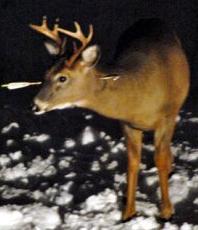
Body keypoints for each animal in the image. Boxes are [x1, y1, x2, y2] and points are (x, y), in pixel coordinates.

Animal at [30, 17, 189, 220]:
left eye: (63, 78)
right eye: (46, 74)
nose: (36, 105)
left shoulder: (166, 117)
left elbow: (159, 159)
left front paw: (167, 211)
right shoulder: (128, 125)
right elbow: (132, 162)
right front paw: (128, 213)